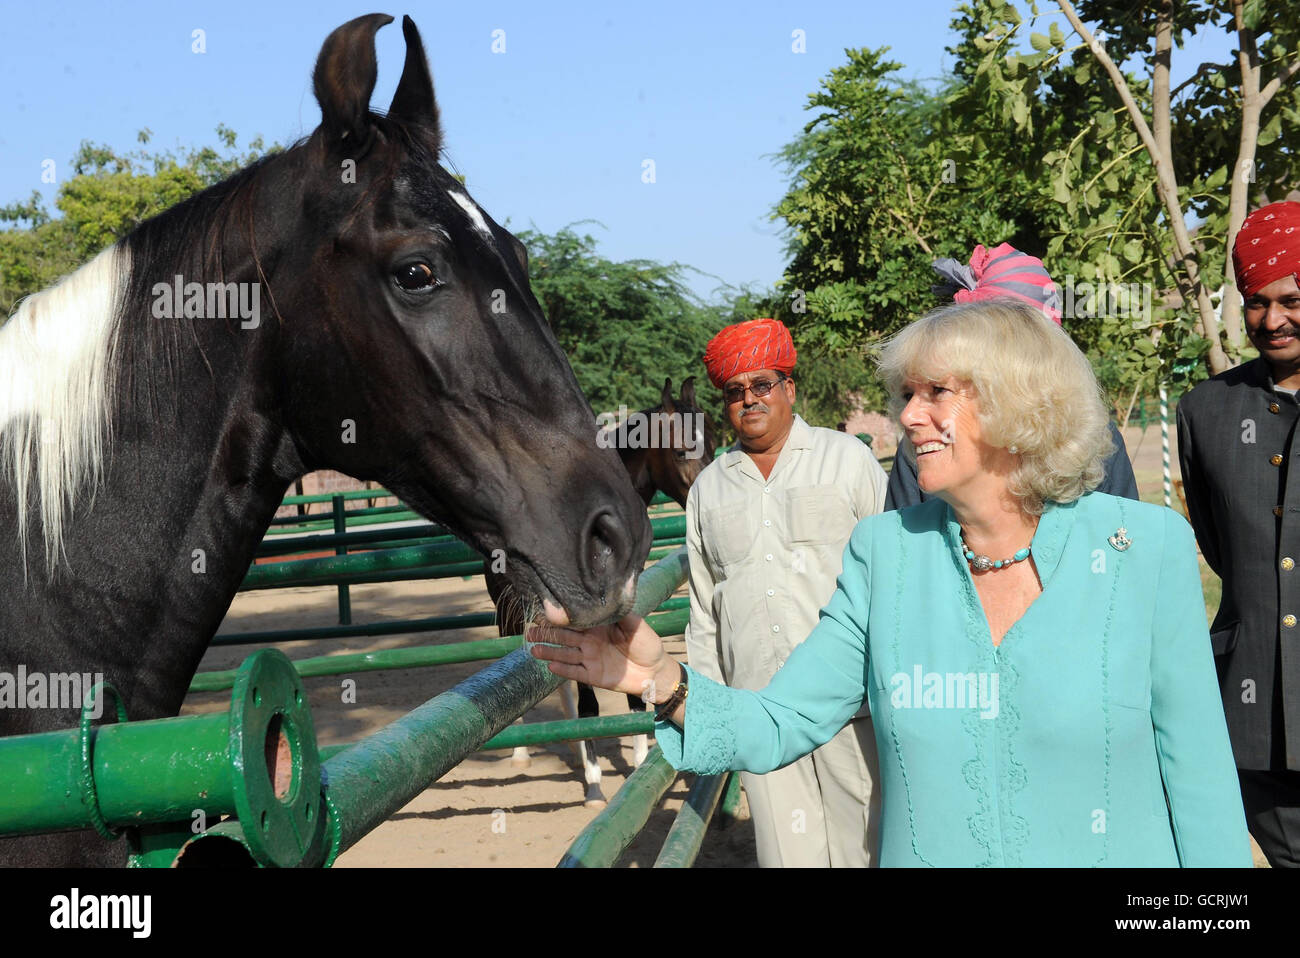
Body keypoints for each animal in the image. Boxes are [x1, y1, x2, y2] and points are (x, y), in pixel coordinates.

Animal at [487, 376, 717, 806]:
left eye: (713, 443)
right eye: (681, 450)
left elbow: (632, 690)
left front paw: (637, 759)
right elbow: (589, 703)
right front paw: (594, 785)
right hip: (509, 615)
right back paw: (524, 752)